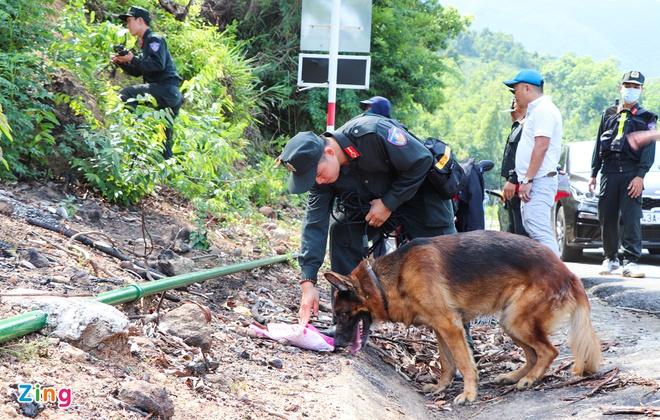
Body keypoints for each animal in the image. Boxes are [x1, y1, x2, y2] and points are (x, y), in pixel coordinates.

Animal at [324, 230, 604, 404]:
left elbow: (463, 362)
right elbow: (446, 363)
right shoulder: (439, 328)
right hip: (509, 322)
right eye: (335, 317)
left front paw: (469, 394)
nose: (336, 345)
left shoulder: (450, 326)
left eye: (343, 315)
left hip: (517, 321)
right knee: (534, 354)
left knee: (548, 352)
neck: (384, 282)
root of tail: (568, 272)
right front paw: (441, 387)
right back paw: (515, 376)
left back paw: (529, 380)